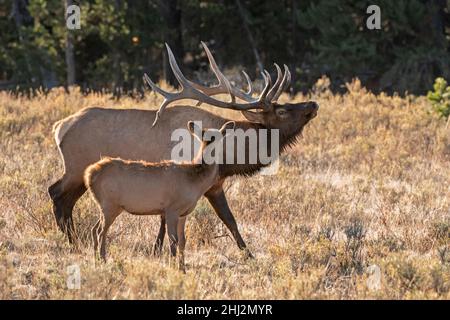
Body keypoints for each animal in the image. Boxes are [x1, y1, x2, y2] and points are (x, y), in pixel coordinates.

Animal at [83, 120, 236, 270]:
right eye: (205, 137)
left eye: (218, 136)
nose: (211, 150)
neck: (195, 182)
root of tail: (90, 175)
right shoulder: (171, 209)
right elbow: (173, 240)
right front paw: (173, 267)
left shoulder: (184, 213)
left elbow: (183, 240)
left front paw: (182, 268)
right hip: (109, 205)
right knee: (101, 232)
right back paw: (103, 261)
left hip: (108, 207)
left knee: (94, 229)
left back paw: (96, 261)